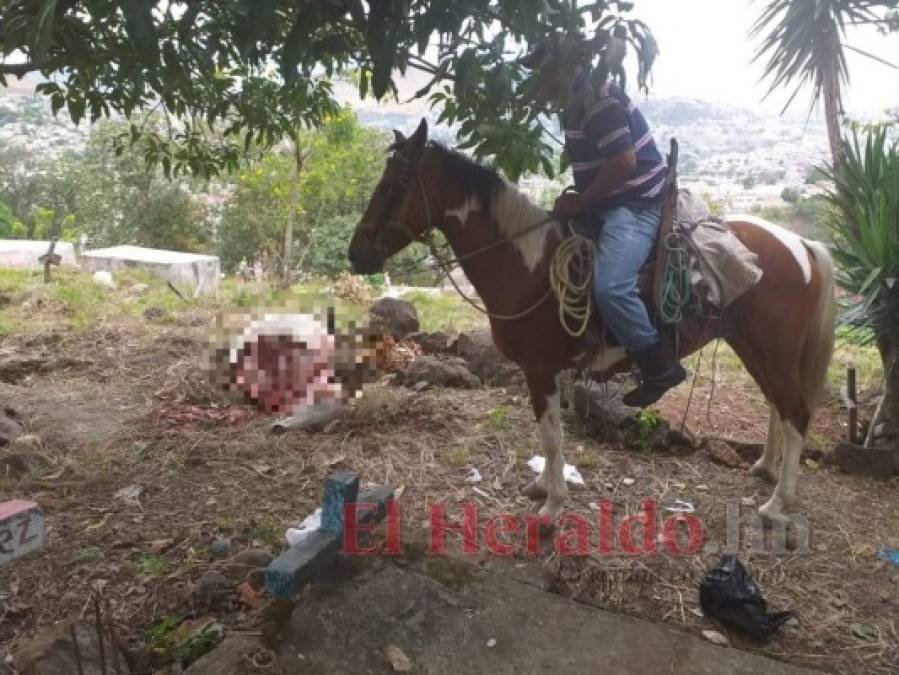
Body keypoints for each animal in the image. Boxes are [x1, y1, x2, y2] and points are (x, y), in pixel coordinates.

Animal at [350, 120, 836, 528]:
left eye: (394, 184)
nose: (356, 253)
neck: (527, 263)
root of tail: (801, 243)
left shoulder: (540, 369)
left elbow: (550, 436)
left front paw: (552, 505)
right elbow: (550, 433)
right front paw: (544, 487)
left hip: (773, 347)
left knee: (796, 412)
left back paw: (778, 502)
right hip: (752, 345)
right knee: (778, 406)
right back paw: (765, 469)